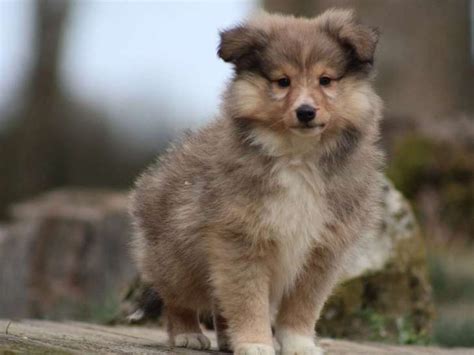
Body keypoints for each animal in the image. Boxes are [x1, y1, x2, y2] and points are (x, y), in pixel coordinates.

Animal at [130, 8, 386, 355]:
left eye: (325, 80)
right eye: (282, 82)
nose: (306, 112)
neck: (297, 158)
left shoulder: (322, 251)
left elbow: (303, 306)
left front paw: (298, 344)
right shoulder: (239, 242)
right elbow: (247, 301)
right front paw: (255, 343)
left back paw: (226, 339)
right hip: (177, 261)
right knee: (177, 300)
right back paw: (188, 334)